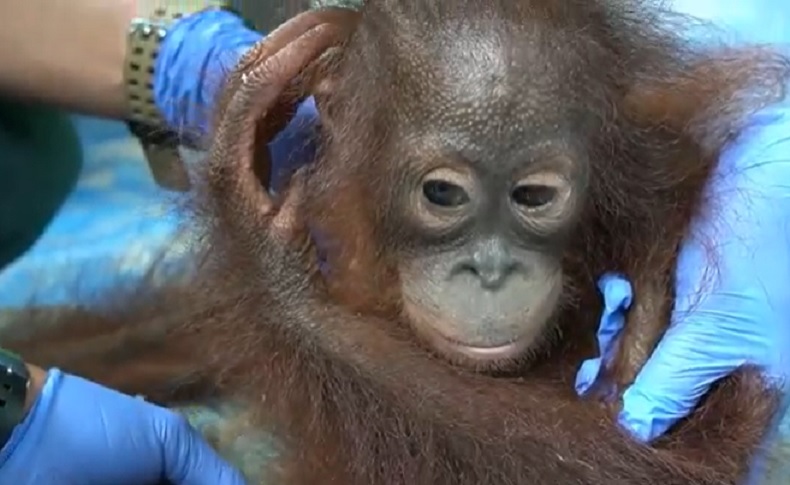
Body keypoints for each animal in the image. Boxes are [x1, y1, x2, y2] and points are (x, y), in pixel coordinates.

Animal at [3, 1, 790, 484]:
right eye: (443, 194)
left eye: (535, 196)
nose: (490, 269)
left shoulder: (658, 251)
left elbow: (665, 458)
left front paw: (263, 245)